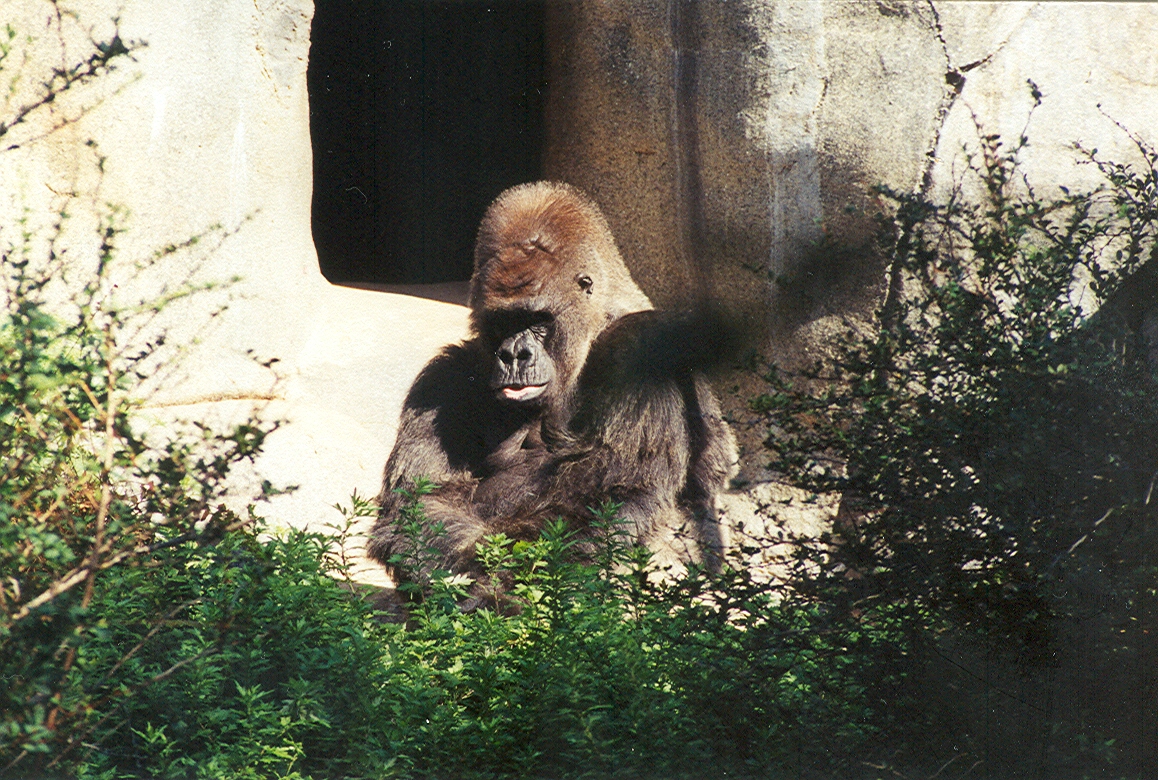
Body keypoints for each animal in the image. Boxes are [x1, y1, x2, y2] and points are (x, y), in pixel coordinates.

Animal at [368, 181, 737, 603]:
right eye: (504, 320)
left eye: (537, 319)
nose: (514, 354)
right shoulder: (446, 374)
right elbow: (423, 503)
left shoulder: (645, 344)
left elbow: (622, 493)